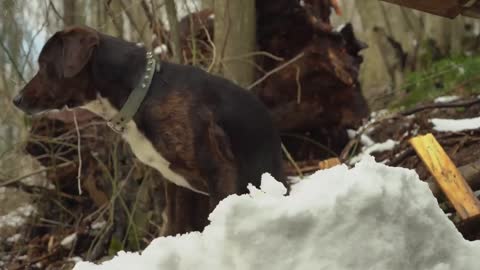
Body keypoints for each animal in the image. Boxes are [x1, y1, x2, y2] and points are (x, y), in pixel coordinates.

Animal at [12, 25, 288, 234]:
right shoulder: (176, 185)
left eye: (44, 65)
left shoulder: (219, 169)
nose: (16, 99)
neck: (143, 91)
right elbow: (175, 225)